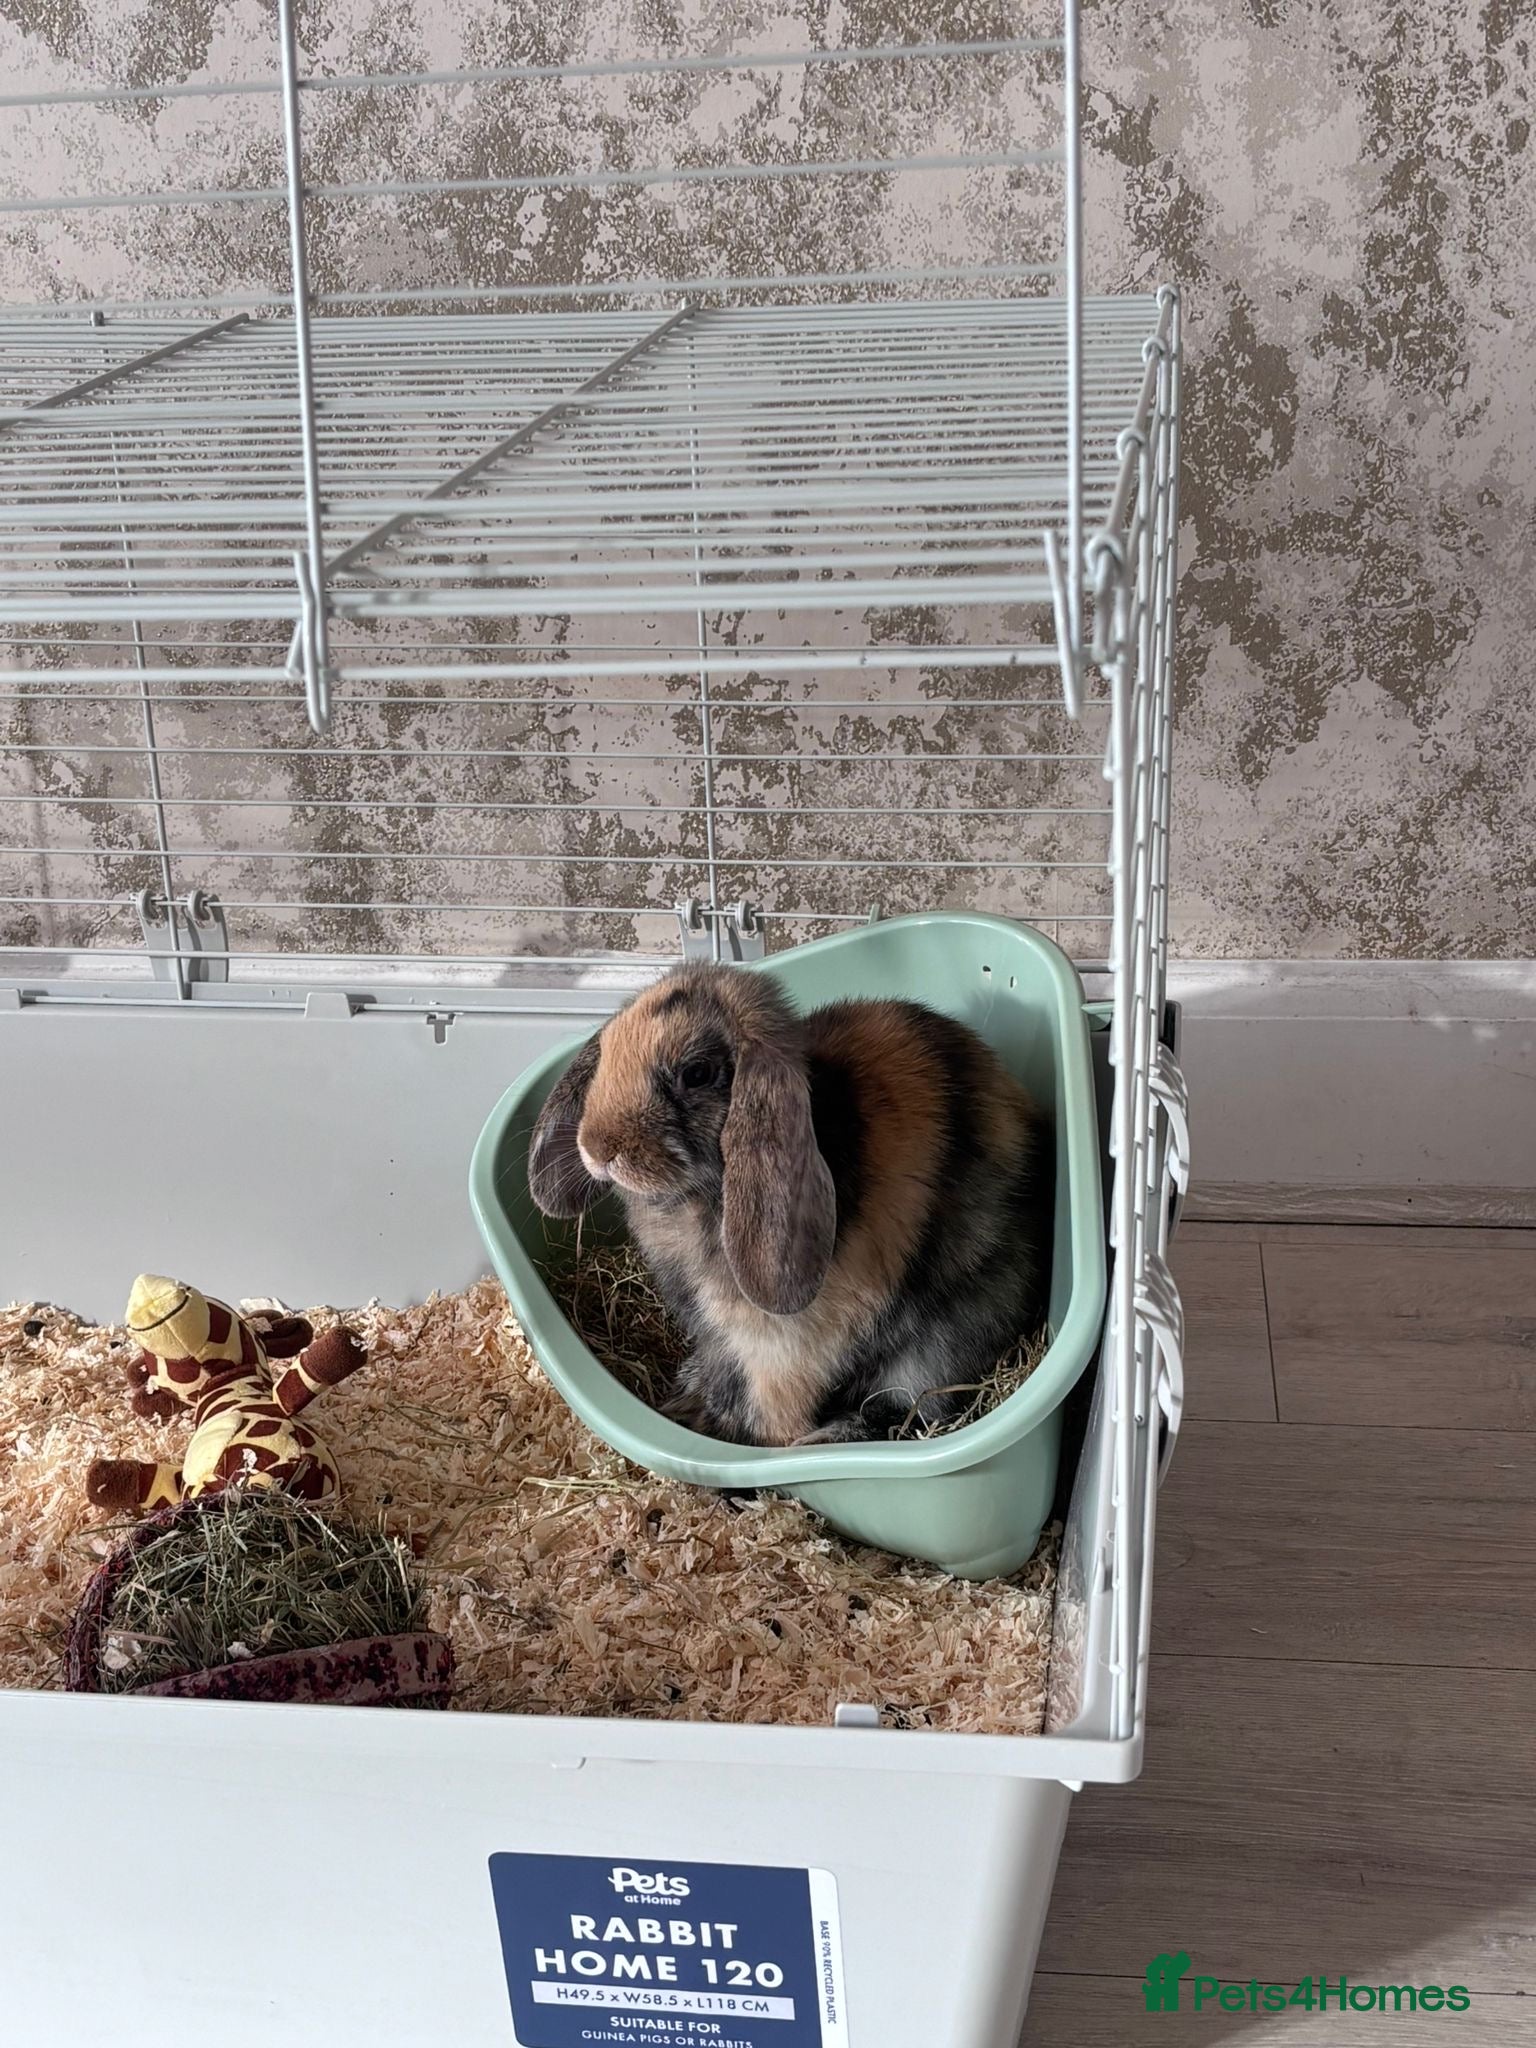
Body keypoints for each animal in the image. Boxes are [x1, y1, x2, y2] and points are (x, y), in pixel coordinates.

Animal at [527, 961, 1053, 1448]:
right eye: (609, 1049)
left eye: (697, 1073)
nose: (598, 1148)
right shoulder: (716, 1333)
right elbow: (722, 1373)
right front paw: (690, 1402)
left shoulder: (787, 1344)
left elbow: (775, 1400)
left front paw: (763, 1443)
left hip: (943, 1342)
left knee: (914, 1406)